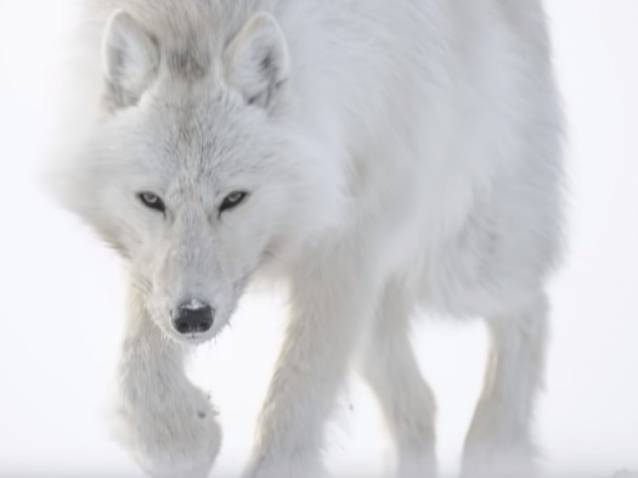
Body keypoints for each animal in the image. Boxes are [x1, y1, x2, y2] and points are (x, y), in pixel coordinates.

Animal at [53, 0, 564, 476]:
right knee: (421, 406)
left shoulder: (348, 240)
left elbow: (297, 392)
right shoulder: (153, 271)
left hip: (460, 263)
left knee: (530, 306)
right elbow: (138, 365)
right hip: (380, 317)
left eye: (234, 199)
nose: (193, 318)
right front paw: (183, 437)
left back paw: (494, 446)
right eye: (151, 200)